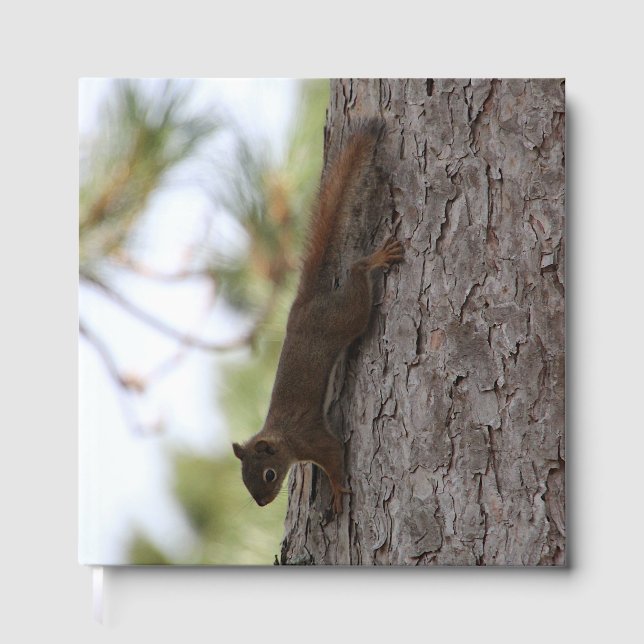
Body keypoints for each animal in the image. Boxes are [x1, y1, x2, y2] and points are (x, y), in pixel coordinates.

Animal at [232, 120, 403, 514]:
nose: (261, 504)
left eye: (268, 475)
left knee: (357, 273)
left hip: (347, 315)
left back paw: (375, 259)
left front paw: (338, 489)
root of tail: (302, 305)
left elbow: (335, 455)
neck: (283, 438)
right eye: (245, 480)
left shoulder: (312, 439)